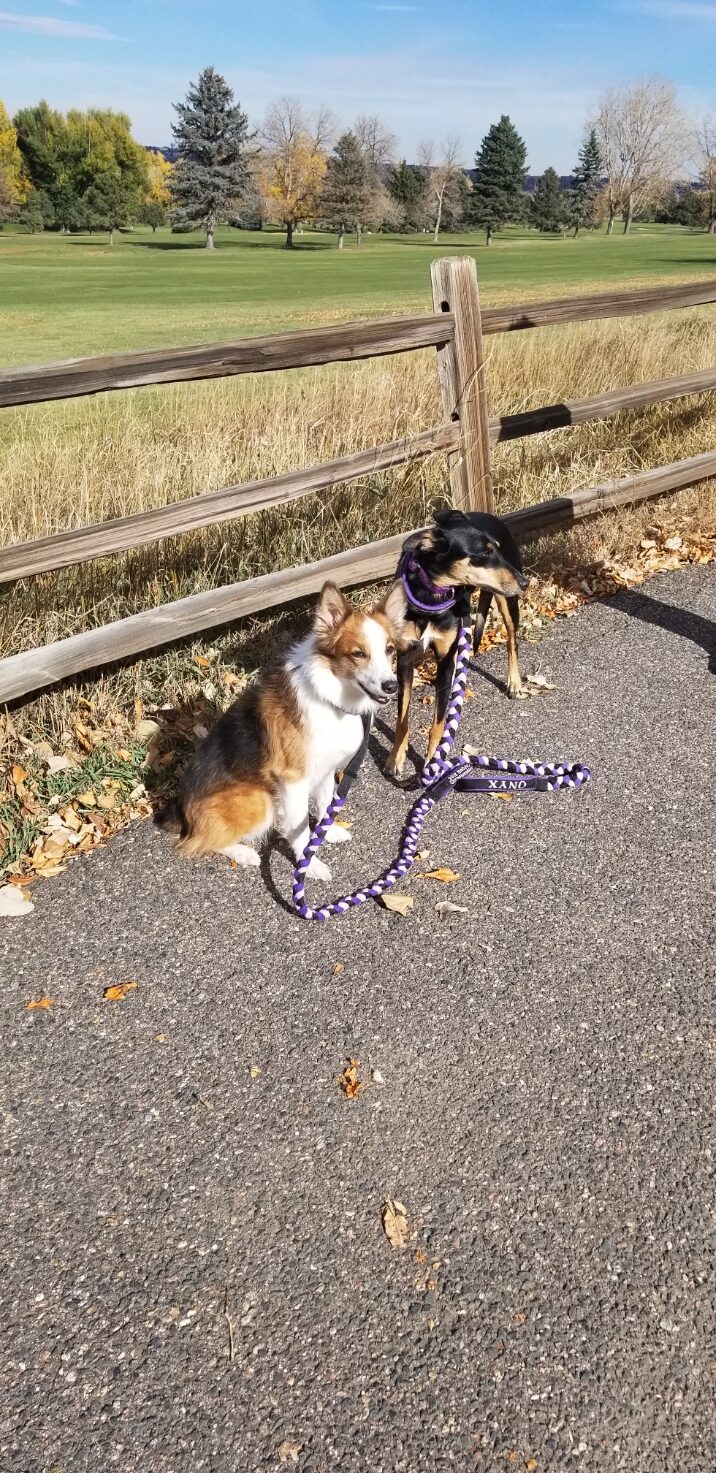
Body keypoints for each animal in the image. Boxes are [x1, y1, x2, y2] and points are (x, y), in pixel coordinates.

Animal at [159, 580, 406, 877]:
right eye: (358, 654)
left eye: (389, 649)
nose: (391, 686)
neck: (331, 698)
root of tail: (181, 810)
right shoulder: (292, 781)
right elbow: (301, 832)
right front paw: (309, 865)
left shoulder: (325, 770)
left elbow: (325, 805)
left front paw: (327, 832)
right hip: (259, 800)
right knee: (197, 841)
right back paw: (243, 853)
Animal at [383, 509, 527, 783]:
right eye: (483, 554)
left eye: (497, 550)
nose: (525, 582)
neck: (431, 595)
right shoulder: (405, 659)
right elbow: (402, 717)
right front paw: (396, 757)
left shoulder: (446, 660)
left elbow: (439, 722)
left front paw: (432, 762)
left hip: (507, 600)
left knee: (512, 639)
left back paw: (514, 681)